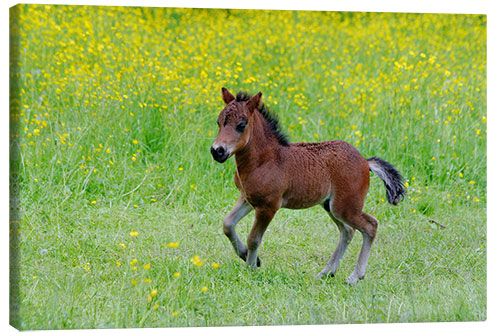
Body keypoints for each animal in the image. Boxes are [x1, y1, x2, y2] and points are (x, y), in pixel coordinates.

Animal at [211, 87, 406, 282]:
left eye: (242, 125)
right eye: (219, 122)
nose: (217, 151)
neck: (264, 160)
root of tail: (365, 162)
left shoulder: (268, 206)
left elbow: (254, 238)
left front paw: (251, 268)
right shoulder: (248, 198)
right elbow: (227, 224)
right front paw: (247, 256)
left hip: (345, 207)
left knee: (370, 226)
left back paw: (355, 276)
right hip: (330, 205)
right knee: (348, 231)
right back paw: (327, 272)